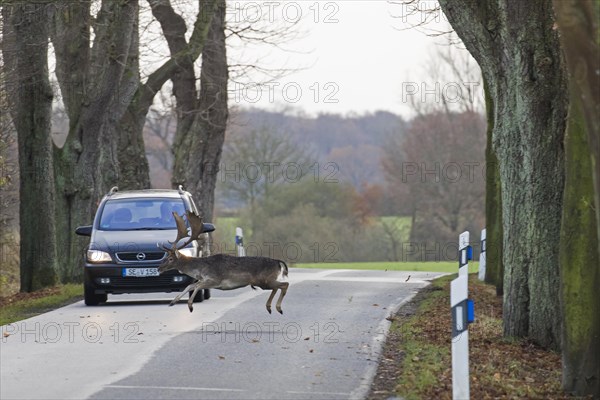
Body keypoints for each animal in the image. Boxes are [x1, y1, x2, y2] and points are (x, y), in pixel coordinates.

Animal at [158, 211, 290, 314]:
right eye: (167, 256)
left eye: (170, 258)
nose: (159, 268)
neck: (200, 269)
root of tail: (278, 262)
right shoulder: (204, 279)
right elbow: (190, 285)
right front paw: (172, 302)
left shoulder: (215, 280)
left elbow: (197, 286)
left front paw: (190, 305)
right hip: (265, 282)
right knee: (277, 287)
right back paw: (270, 307)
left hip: (264, 280)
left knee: (285, 284)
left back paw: (278, 308)